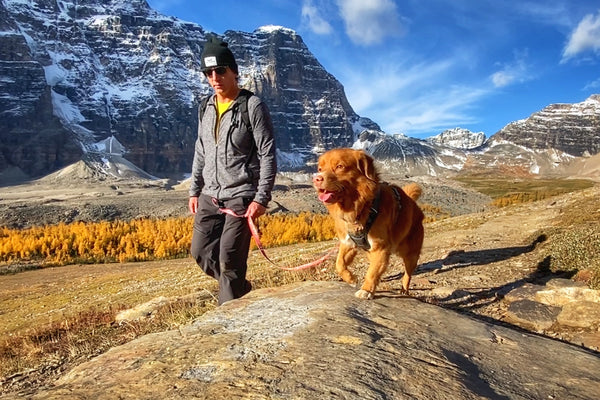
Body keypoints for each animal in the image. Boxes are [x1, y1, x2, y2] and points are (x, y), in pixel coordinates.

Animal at [312, 148, 424, 298]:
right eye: (320, 169)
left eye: (340, 166)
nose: (316, 179)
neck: (361, 207)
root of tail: (414, 205)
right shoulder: (348, 243)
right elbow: (339, 264)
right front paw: (351, 279)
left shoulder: (380, 247)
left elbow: (372, 273)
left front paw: (366, 290)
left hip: (410, 253)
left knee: (407, 273)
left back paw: (404, 290)